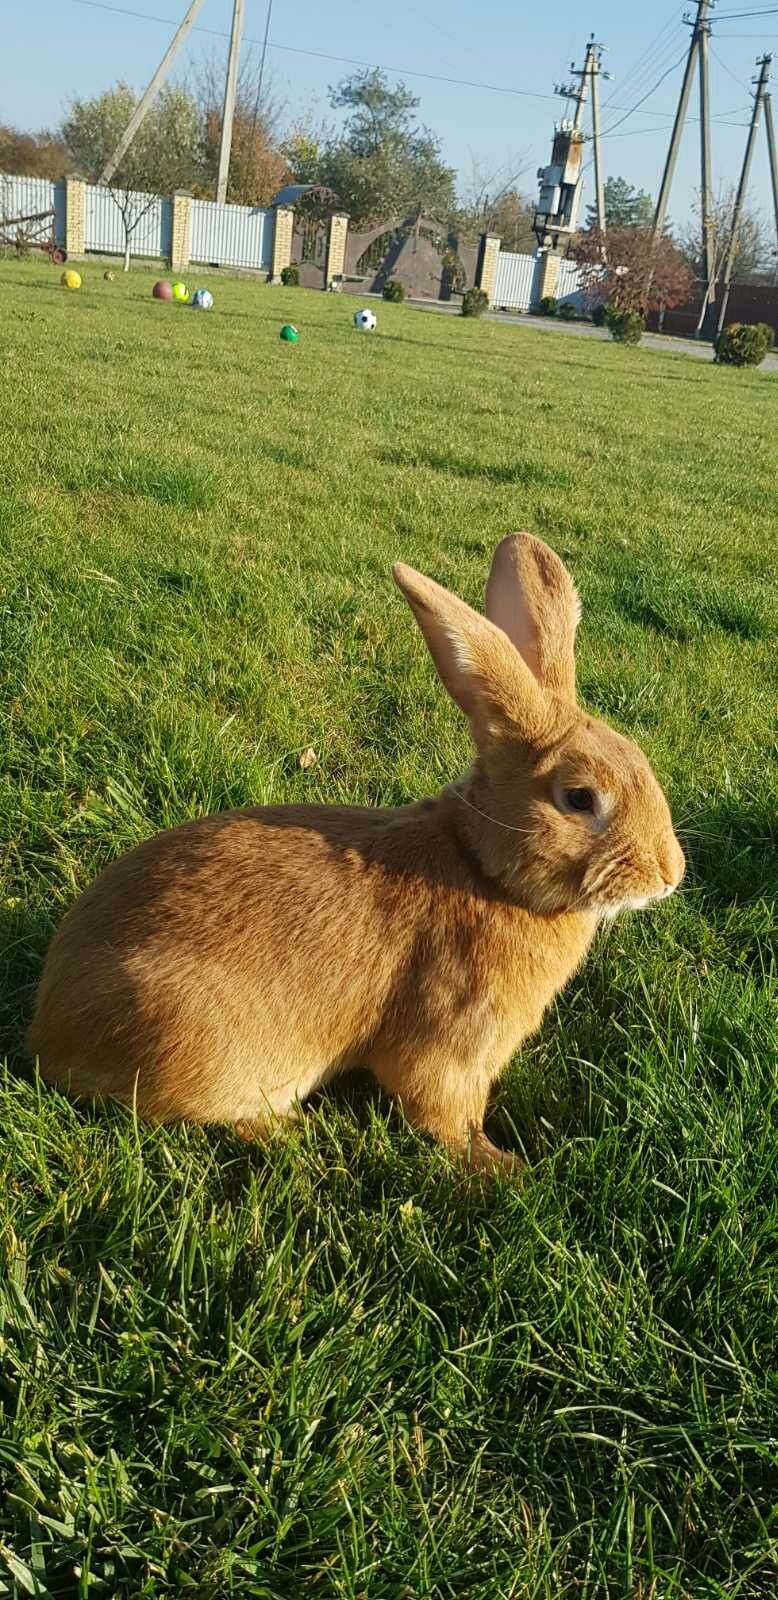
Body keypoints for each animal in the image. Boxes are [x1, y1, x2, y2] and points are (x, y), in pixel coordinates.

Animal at [30, 537, 685, 1177]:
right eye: (579, 798)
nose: (669, 873)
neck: (484, 868)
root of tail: (49, 1031)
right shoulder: (448, 1045)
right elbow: (443, 1112)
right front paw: (501, 1167)